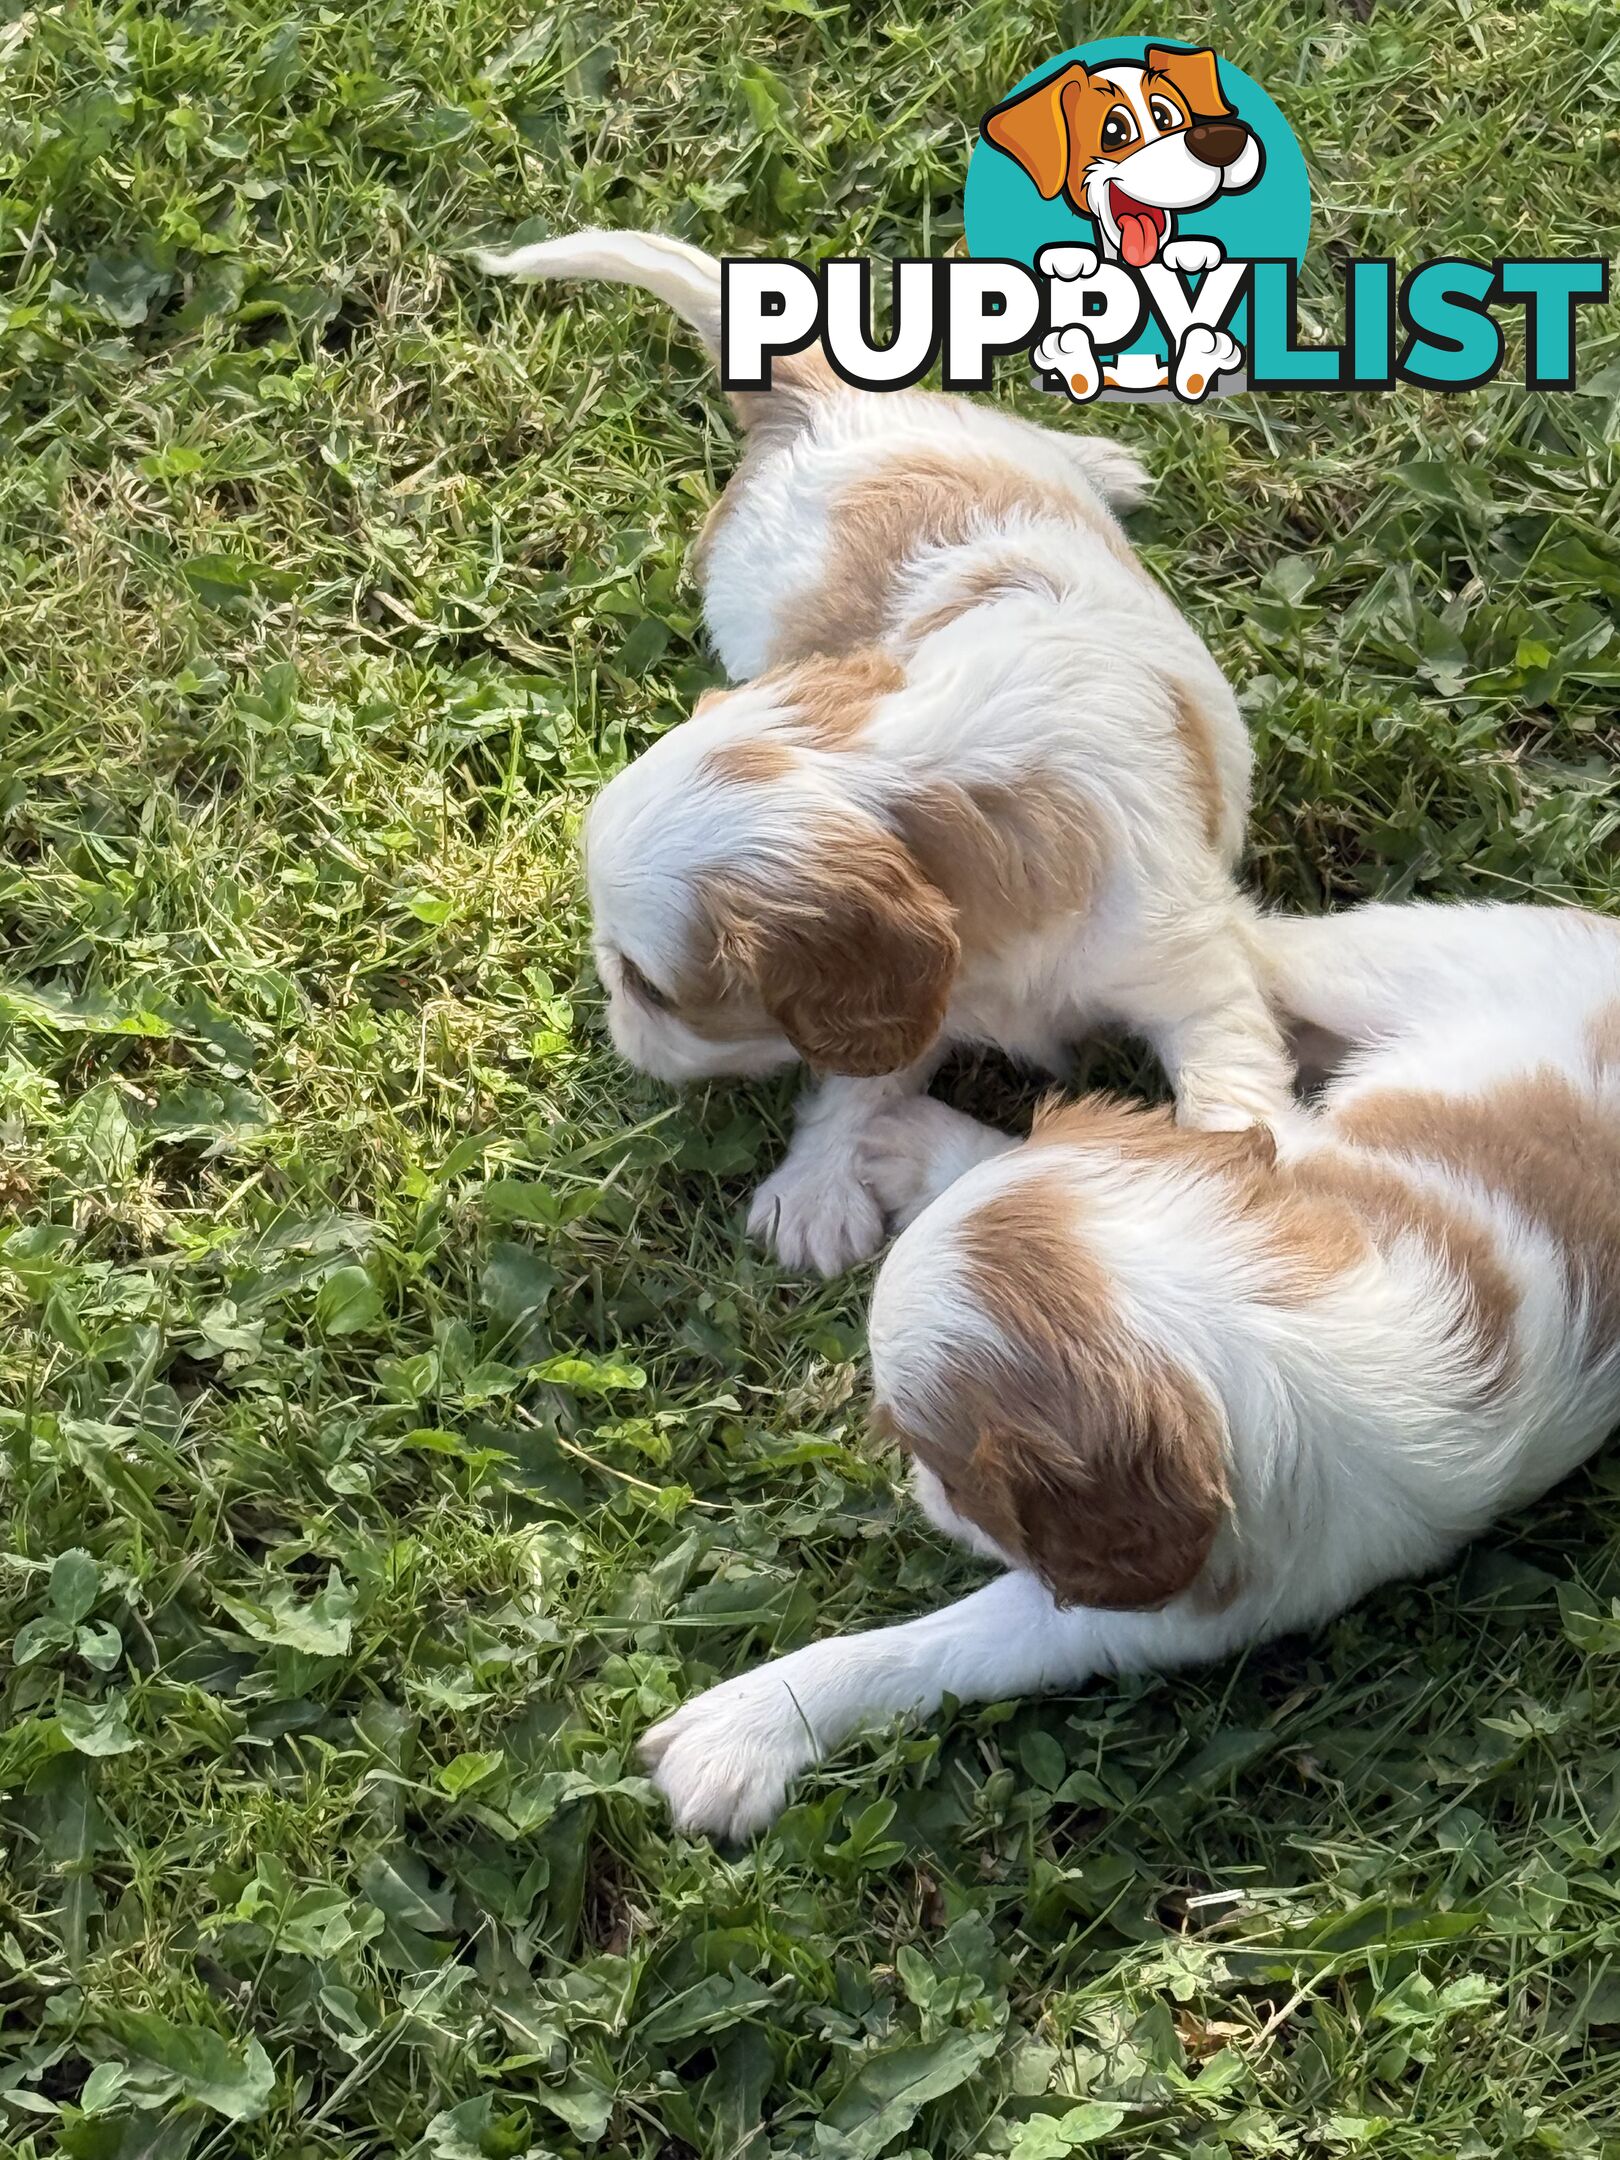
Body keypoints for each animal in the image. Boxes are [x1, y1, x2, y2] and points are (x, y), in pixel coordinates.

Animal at [481, 232, 1296, 1278]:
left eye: (648, 987)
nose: (618, 1031)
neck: (917, 767)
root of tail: (827, 401)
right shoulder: (928, 988)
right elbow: (863, 1074)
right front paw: (818, 1189)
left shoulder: (1185, 953)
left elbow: (1227, 1073)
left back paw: (1101, 458)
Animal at [639, 898, 1620, 1840]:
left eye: (953, 1474)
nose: (918, 1492)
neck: (1256, 1321)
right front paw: (921, 1146)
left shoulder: (1176, 1603)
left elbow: (947, 1643)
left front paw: (747, 1725)